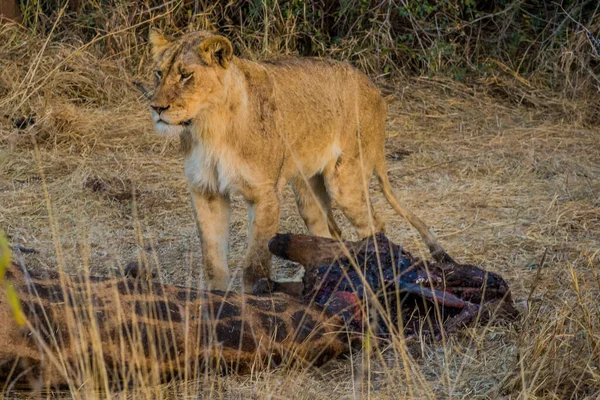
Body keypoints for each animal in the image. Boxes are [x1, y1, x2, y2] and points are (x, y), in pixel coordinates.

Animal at [146, 28, 446, 290]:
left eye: (186, 76)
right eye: (158, 73)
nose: (157, 108)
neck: (209, 128)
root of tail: (374, 89)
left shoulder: (265, 193)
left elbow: (255, 264)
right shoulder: (205, 191)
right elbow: (212, 261)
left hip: (345, 182)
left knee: (375, 226)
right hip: (308, 191)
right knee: (328, 234)